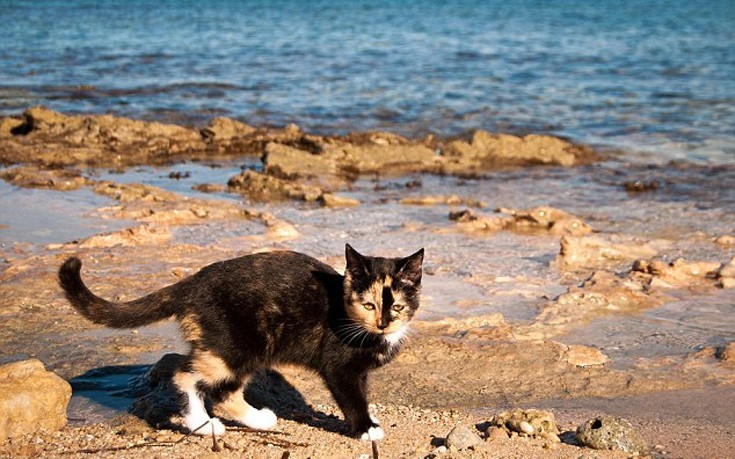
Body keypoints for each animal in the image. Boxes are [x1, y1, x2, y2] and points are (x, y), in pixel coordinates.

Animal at [59, 244, 426, 442]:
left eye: (396, 306)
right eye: (369, 305)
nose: (383, 324)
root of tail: (192, 284)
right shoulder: (339, 366)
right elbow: (351, 397)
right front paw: (365, 428)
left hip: (241, 349)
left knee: (222, 390)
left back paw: (248, 421)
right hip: (237, 345)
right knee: (187, 375)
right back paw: (207, 424)